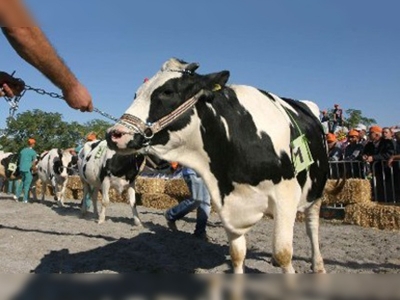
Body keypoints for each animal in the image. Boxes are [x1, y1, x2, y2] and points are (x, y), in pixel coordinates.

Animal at [106, 57, 332, 274]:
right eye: (136, 94)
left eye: (167, 91)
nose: (114, 134)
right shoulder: (228, 203)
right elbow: (237, 255)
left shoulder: (286, 194)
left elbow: (283, 253)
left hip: (316, 190)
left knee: (312, 226)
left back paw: (318, 265)